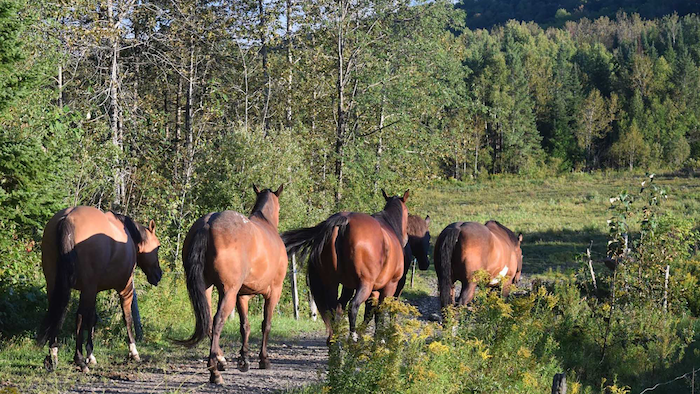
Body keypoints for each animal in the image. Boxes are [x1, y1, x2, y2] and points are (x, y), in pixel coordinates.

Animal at [37, 206, 163, 372]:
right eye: (158, 246)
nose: (158, 275)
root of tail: (67, 218)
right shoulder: (125, 288)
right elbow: (127, 318)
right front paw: (133, 352)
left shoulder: (93, 290)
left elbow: (92, 318)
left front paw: (91, 356)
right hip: (88, 288)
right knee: (78, 316)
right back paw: (79, 360)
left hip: (55, 284)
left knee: (58, 312)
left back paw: (53, 355)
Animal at [180, 185, 290, 384]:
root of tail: (207, 223)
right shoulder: (273, 292)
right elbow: (266, 324)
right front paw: (264, 359)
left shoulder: (242, 295)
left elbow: (245, 326)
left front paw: (244, 360)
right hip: (228, 292)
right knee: (217, 321)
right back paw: (214, 372)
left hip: (207, 288)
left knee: (208, 321)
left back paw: (221, 361)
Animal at [280, 189, 408, 344]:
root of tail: (344, 221)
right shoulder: (389, 286)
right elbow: (378, 311)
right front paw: (379, 339)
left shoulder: (354, 287)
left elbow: (369, 311)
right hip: (365, 284)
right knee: (353, 306)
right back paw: (352, 337)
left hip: (332, 284)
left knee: (335, 309)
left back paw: (335, 340)